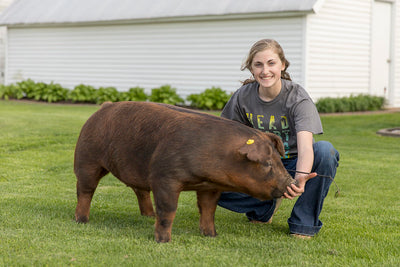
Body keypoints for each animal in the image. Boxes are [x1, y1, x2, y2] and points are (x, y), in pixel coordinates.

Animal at [73, 101, 296, 244]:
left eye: (279, 160)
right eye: (267, 163)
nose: (291, 182)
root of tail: (105, 106)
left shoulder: (210, 187)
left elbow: (208, 209)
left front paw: (211, 236)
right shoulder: (164, 178)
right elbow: (168, 210)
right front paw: (163, 241)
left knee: (140, 191)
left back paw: (148, 216)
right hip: (86, 158)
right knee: (85, 190)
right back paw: (81, 220)